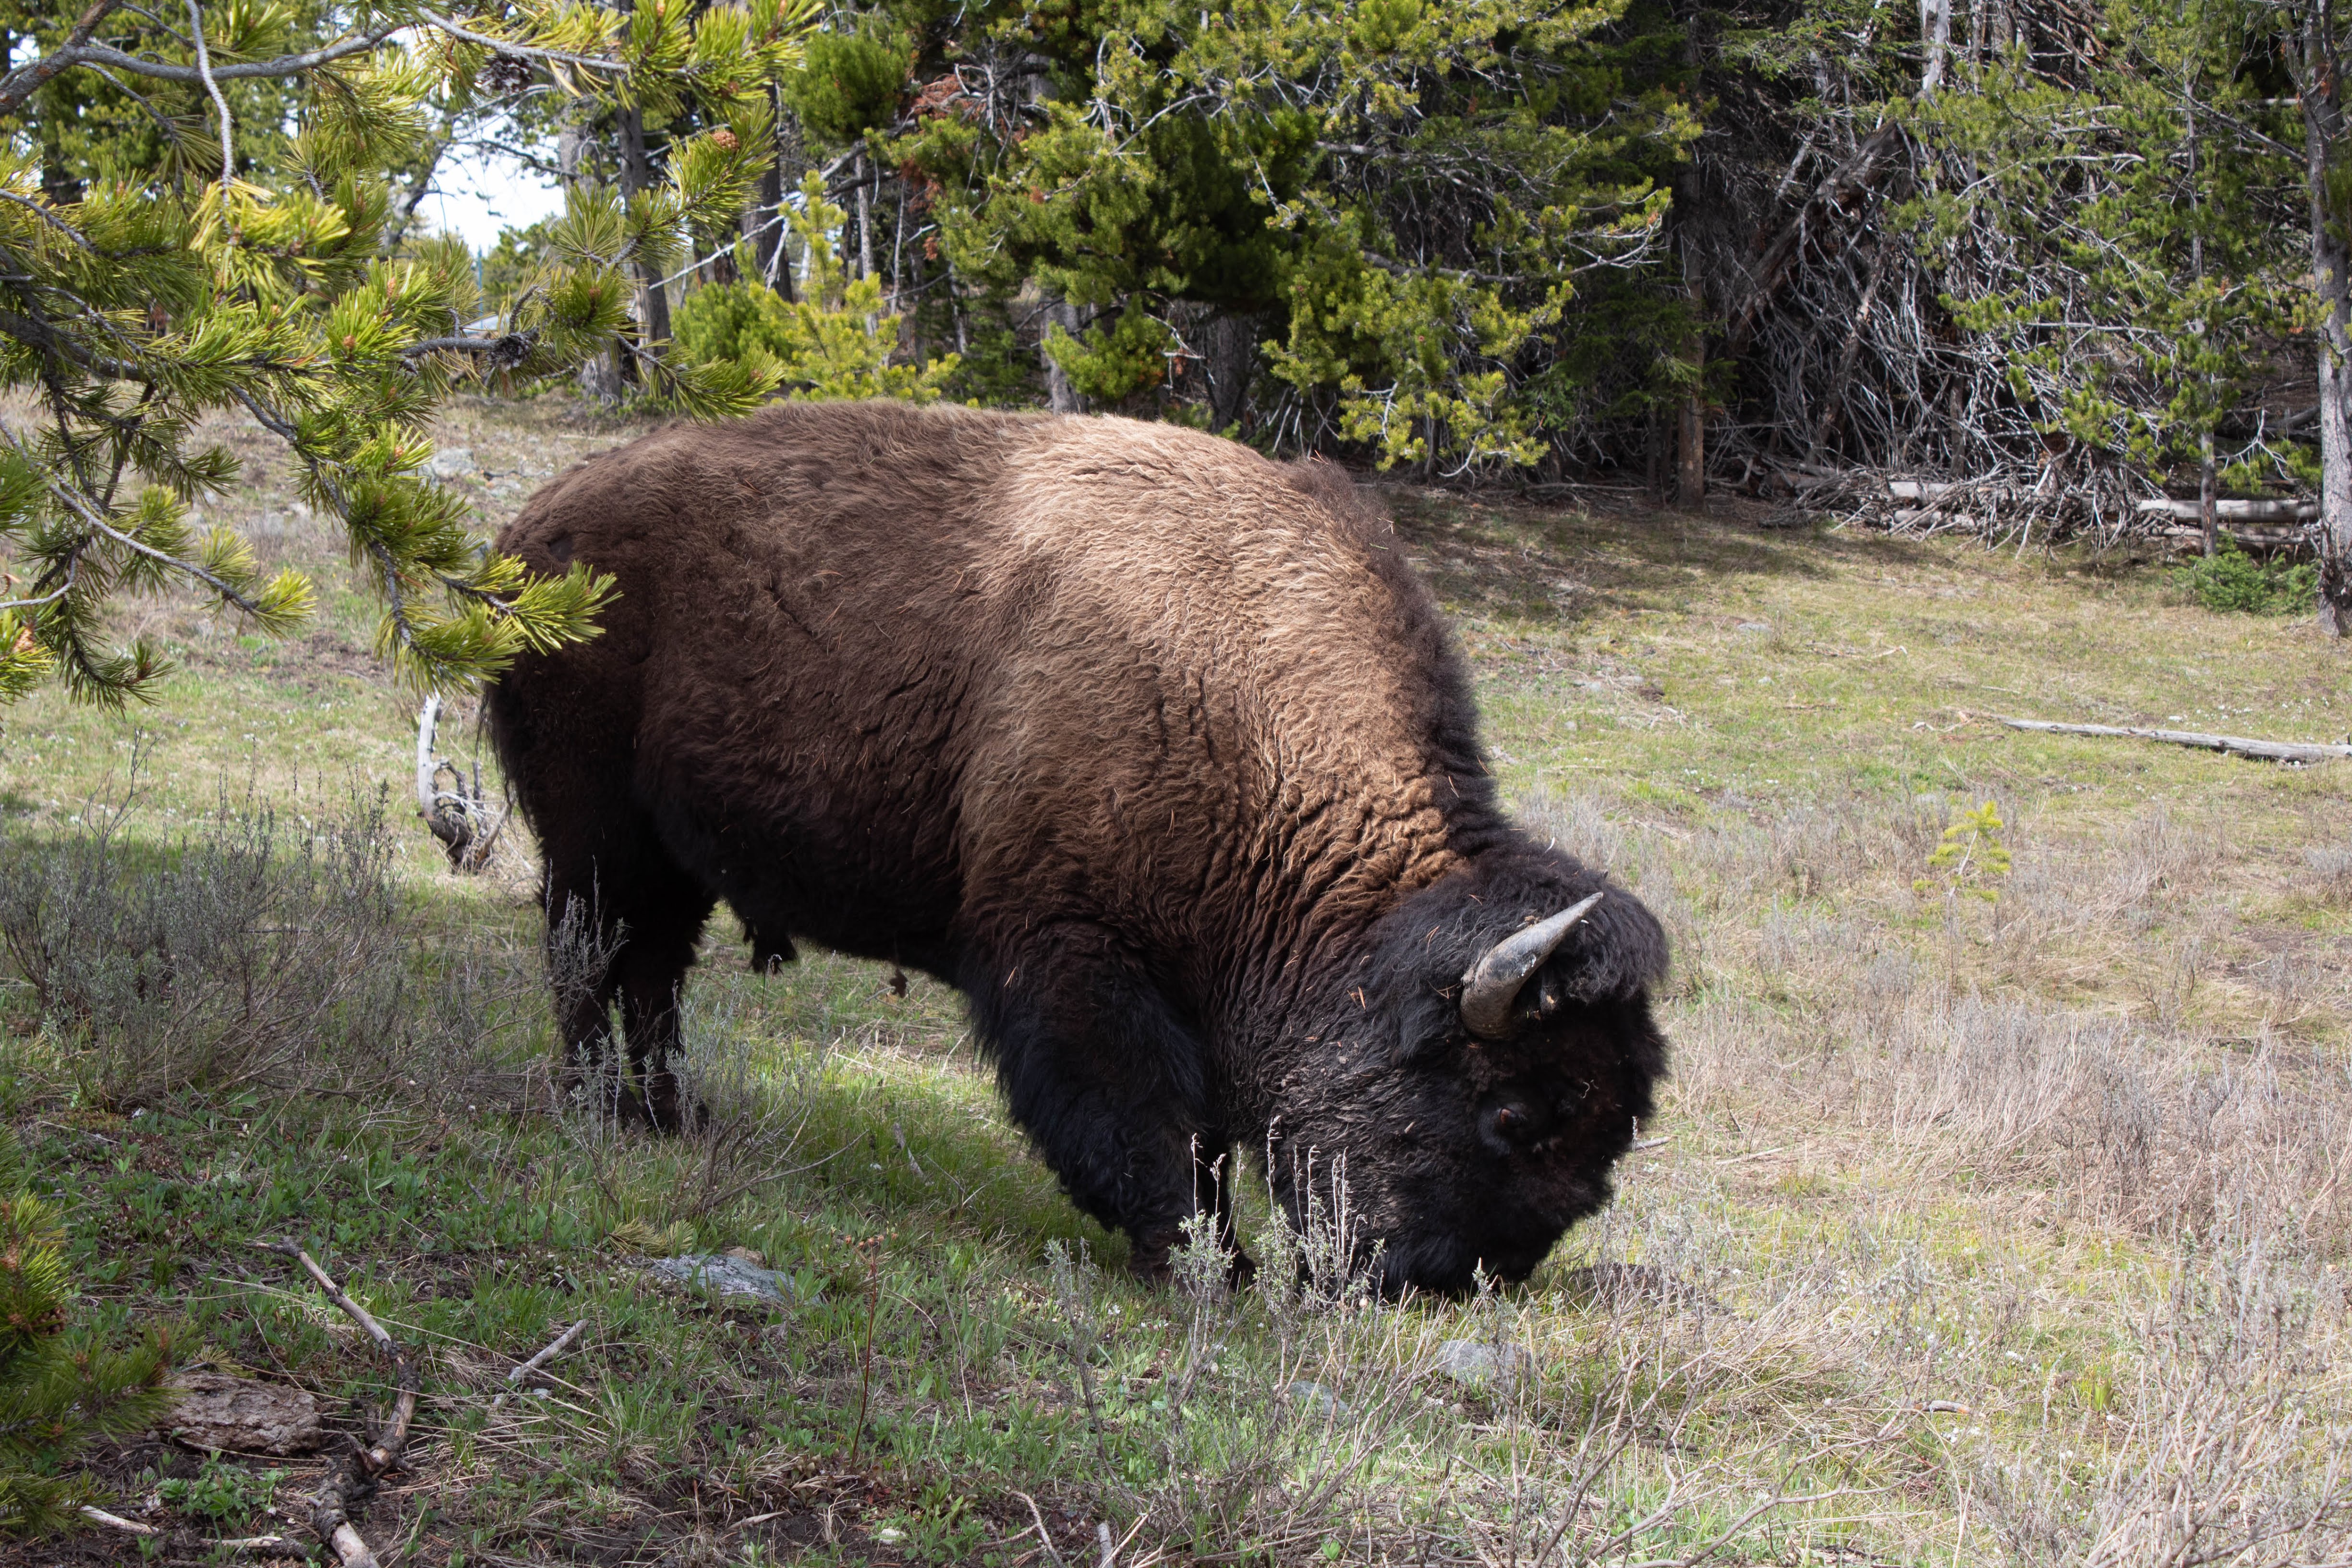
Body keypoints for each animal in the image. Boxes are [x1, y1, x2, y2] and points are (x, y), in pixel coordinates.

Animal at [491, 404, 1674, 1298]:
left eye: (1610, 1138)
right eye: (1510, 1113)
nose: (1453, 1281)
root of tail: (531, 529)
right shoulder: (1075, 959)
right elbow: (1144, 1121)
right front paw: (1204, 1266)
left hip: (674, 859)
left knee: (651, 972)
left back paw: (671, 1115)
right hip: (594, 833)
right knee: (586, 957)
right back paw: (597, 1107)